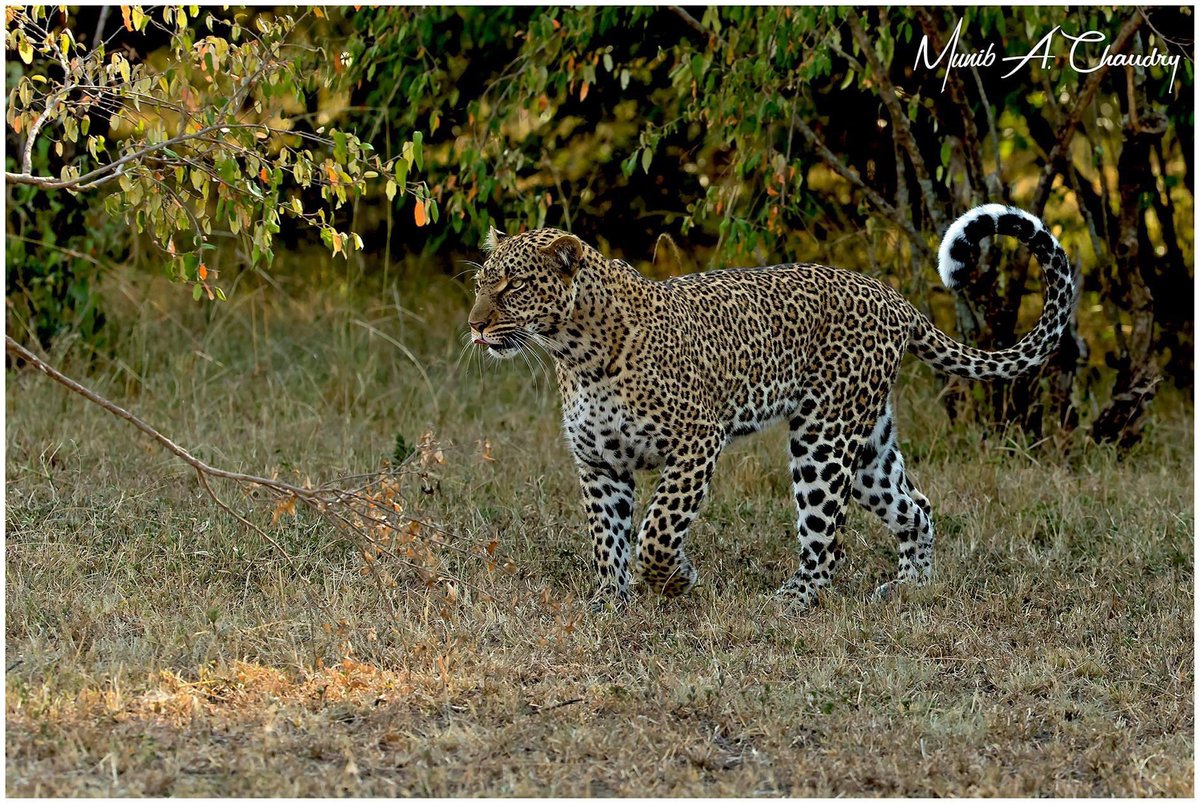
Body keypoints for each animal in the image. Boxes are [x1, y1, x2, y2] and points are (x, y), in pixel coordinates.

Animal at [467, 204, 1078, 609]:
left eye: (514, 286)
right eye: (480, 283)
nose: (474, 325)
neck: (576, 353)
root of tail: (894, 298)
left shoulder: (696, 442)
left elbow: (657, 530)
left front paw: (675, 580)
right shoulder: (599, 463)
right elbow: (608, 539)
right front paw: (609, 602)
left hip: (823, 438)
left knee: (826, 539)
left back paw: (794, 600)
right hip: (869, 447)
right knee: (918, 507)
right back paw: (910, 588)